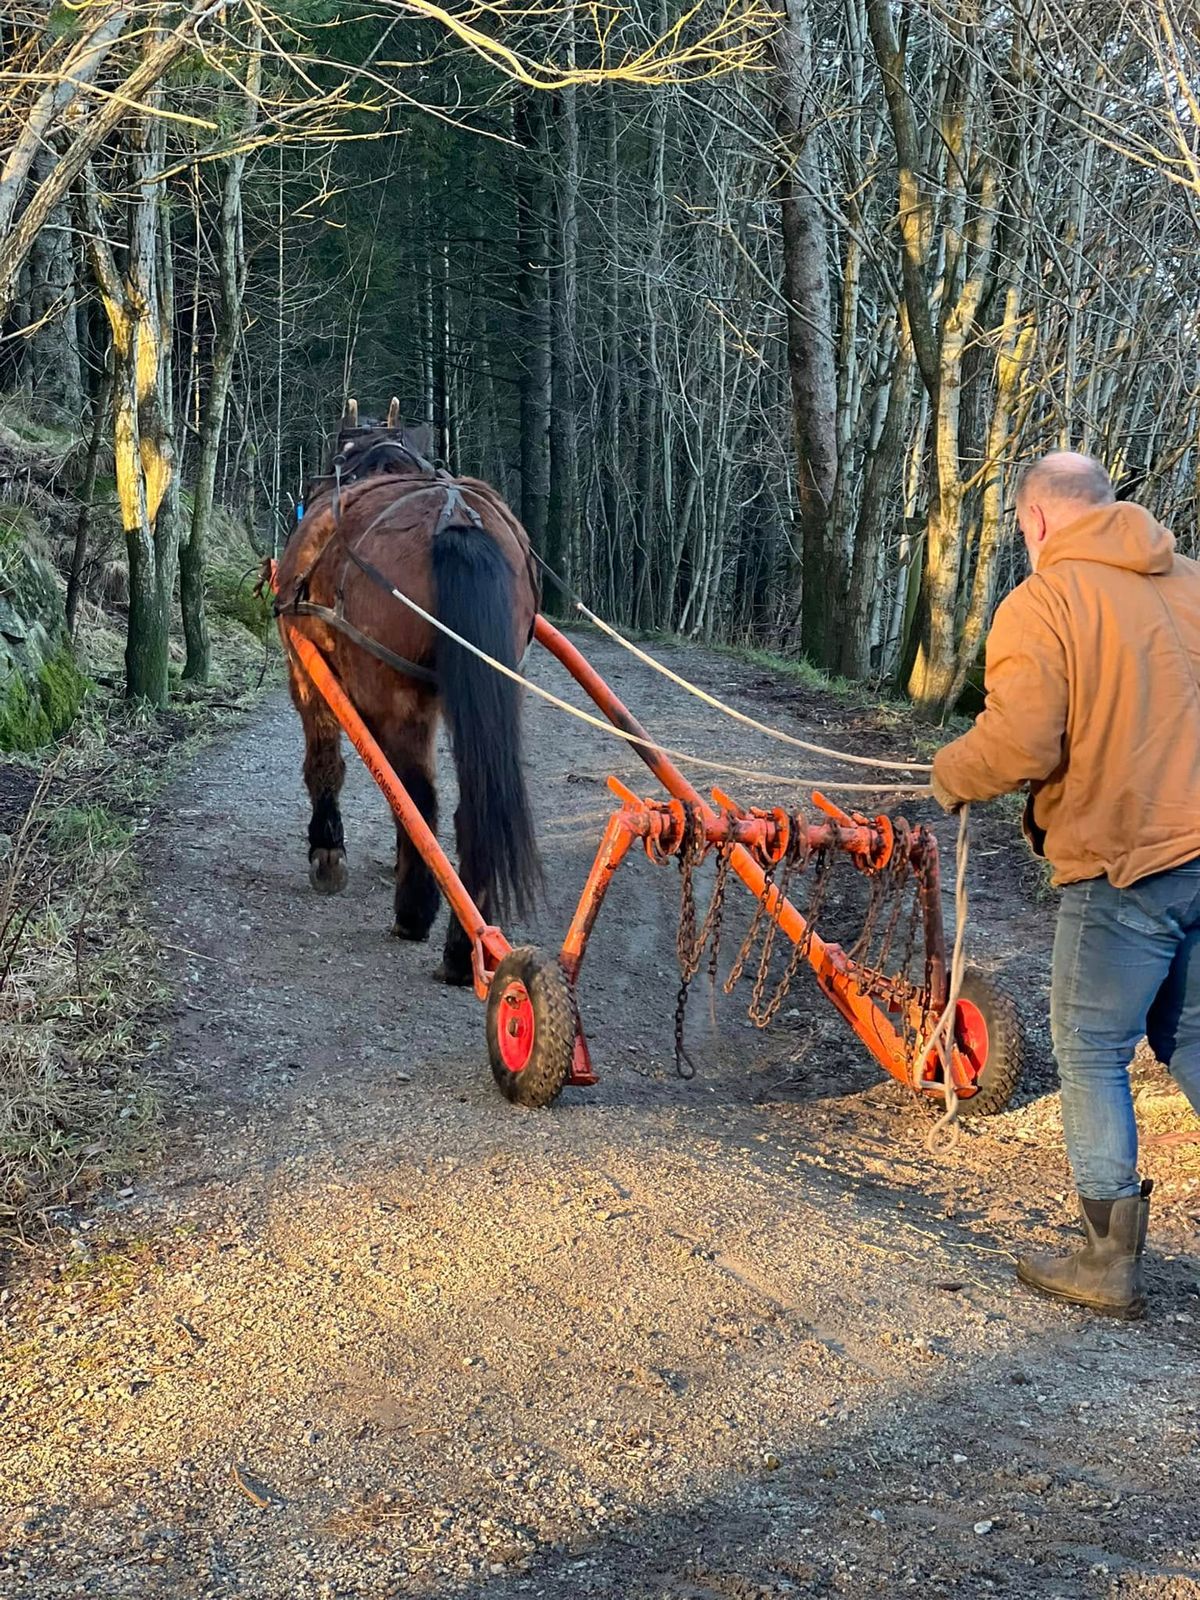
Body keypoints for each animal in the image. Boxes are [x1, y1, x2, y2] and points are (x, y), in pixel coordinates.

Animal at [275, 409, 544, 985]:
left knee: (418, 799)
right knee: (472, 809)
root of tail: (456, 519)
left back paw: (415, 913)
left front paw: (327, 850)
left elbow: (325, 763)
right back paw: (463, 946)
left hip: (397, 696)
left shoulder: (305, 672)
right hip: (493, 689)